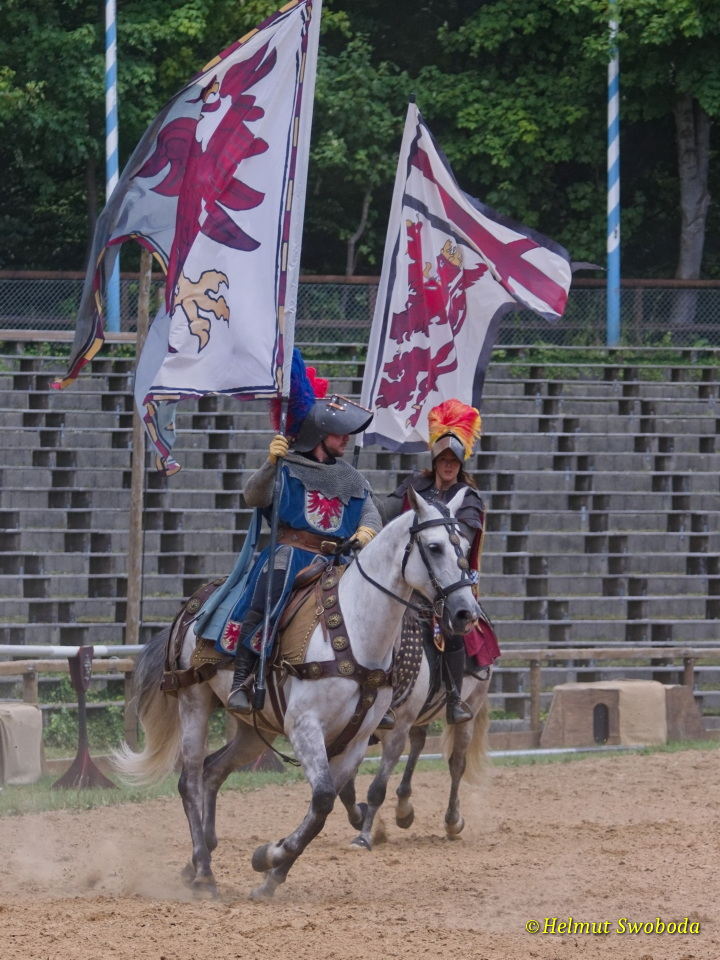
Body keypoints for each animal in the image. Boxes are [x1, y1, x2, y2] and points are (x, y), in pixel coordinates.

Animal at [350, 628, 491, 851]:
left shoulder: (396, 735)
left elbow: (377, 788)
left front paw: (363, 836)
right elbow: (345, 787)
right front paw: (358, 819)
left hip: (471, 709)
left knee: (457, 764)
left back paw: (452, 821)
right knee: (418, 744)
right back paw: (404, 809)